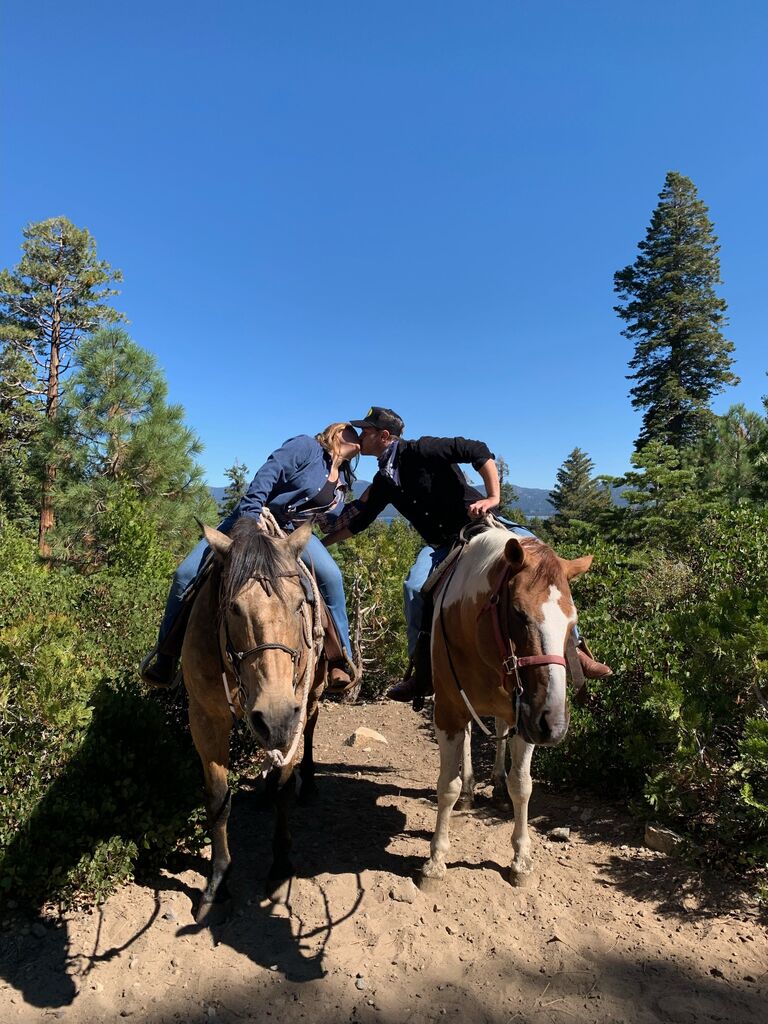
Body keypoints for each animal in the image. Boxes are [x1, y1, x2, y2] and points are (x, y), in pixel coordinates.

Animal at [184, 520, 327, 921]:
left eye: (300, 604)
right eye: (232, 608)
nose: (275, 716)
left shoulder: (293, 713)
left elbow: (283, 789)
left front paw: (280, 869)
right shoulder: (205, 719)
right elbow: (218, 799)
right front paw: (217, 884)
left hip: (312, 695)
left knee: (310, 728)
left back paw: (309, 783)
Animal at [423, 520, 593, 888]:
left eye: (572, 623)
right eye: (518, 613)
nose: (553, 725)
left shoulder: (526, 716)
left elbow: (522, 785)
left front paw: (521, 859)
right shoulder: (447, 712)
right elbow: (447, 785)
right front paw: (436, 859)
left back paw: (497, 783)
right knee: (469, 738)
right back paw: (470, 789)